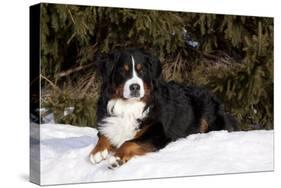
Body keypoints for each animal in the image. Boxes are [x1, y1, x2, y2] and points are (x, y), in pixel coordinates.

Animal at [88, 47, 237, 168]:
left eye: (142, 71)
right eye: (123, 71)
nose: (135, 87)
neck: (129, 106)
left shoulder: (158, 132)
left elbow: (129, 142)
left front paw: (116, 158)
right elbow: (103, 135)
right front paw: (97, 151)